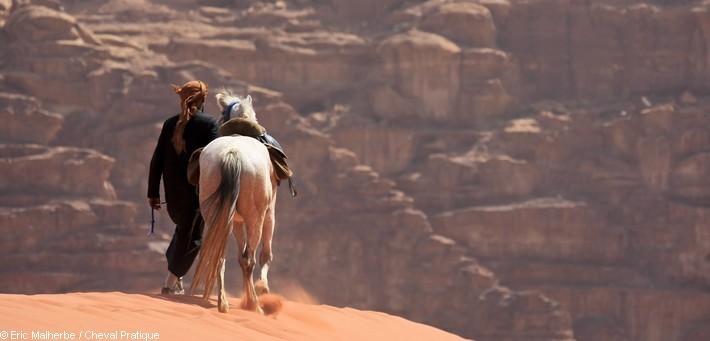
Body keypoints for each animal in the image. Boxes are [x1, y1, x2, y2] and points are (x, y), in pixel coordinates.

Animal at [191, 90, 276, 314]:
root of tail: (232, 153)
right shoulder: (269, 213)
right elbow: (264, 254)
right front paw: (262, 288)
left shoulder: (236, 220)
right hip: (255, 217)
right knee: (249, 259)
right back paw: (254, 304)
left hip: (217, 215)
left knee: (219, 254)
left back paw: (223, 302)